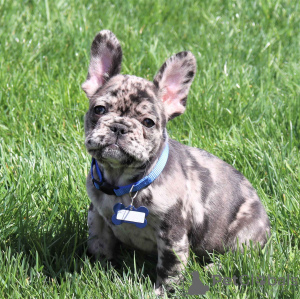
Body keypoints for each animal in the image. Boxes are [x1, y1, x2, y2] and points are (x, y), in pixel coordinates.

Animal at [81, 29, 270, 296]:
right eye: (99, 109)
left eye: (148, 122)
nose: (119, 127)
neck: (122, 182)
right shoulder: (97, 217)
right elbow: (99, 246)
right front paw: (99, 270)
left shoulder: (173, 235)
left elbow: (169, 270)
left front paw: (161, 293)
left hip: (243, 236)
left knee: (235, 257)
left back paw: (213, 268)